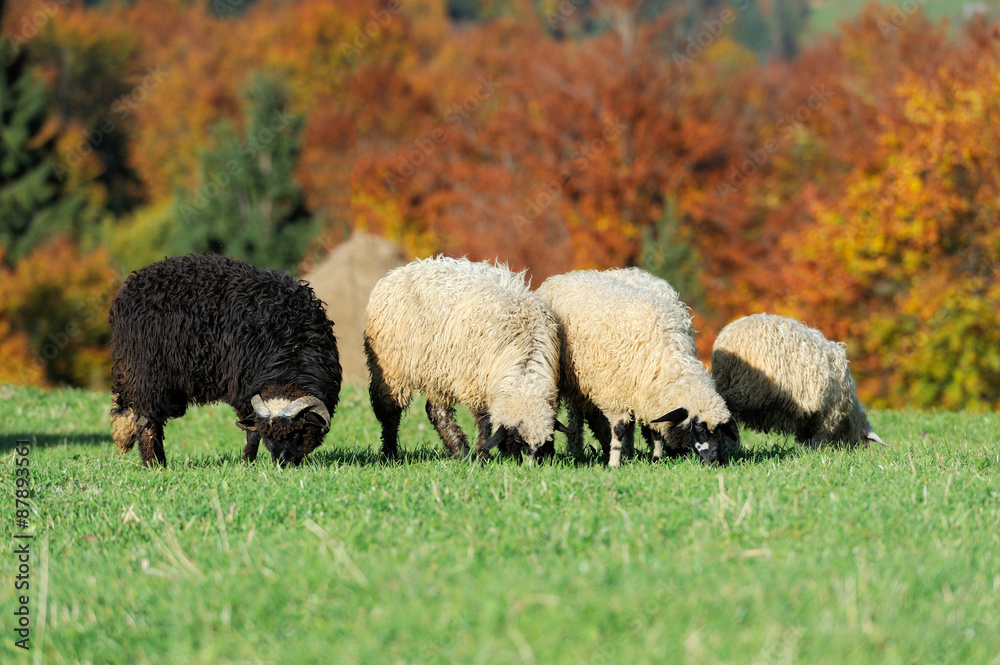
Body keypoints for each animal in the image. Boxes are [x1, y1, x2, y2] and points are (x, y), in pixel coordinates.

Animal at [106, 254, 340, 466]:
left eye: (297, 433)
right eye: (269, 435)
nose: (281, 465)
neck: (292, 347)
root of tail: (130, 287)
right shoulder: (244, 391)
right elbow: (251, 434)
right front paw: (248, 464)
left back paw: (161, 462)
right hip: (147, 375)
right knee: (147, 423)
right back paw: (153, 465)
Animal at [362, 256, 568, 464]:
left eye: (544, 442)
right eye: (517, 440)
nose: (529, 466)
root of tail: (397, 272)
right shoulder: (475, 382)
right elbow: (485, 422)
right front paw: (482, 456)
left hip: (437, 370)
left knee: (436, 412)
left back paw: (460, 451)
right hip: (391, 369)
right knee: (389, 413)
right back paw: (391, 454)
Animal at [536, 268, 740, 464]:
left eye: (720, 431)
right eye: (699, 428)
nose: (715, 461)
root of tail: (567, 275)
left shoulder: (650, 395)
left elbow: (654, 429)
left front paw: (655, 458)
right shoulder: (615, 393)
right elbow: (619, 428)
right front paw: (614, 462)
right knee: (576, 417)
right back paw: (575, 450)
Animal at [712, 314, 884, 448]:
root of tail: (732, 338)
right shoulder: (828, 414)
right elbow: (819, 436)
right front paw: (817, 451)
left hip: (726, 380)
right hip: (751, 388)